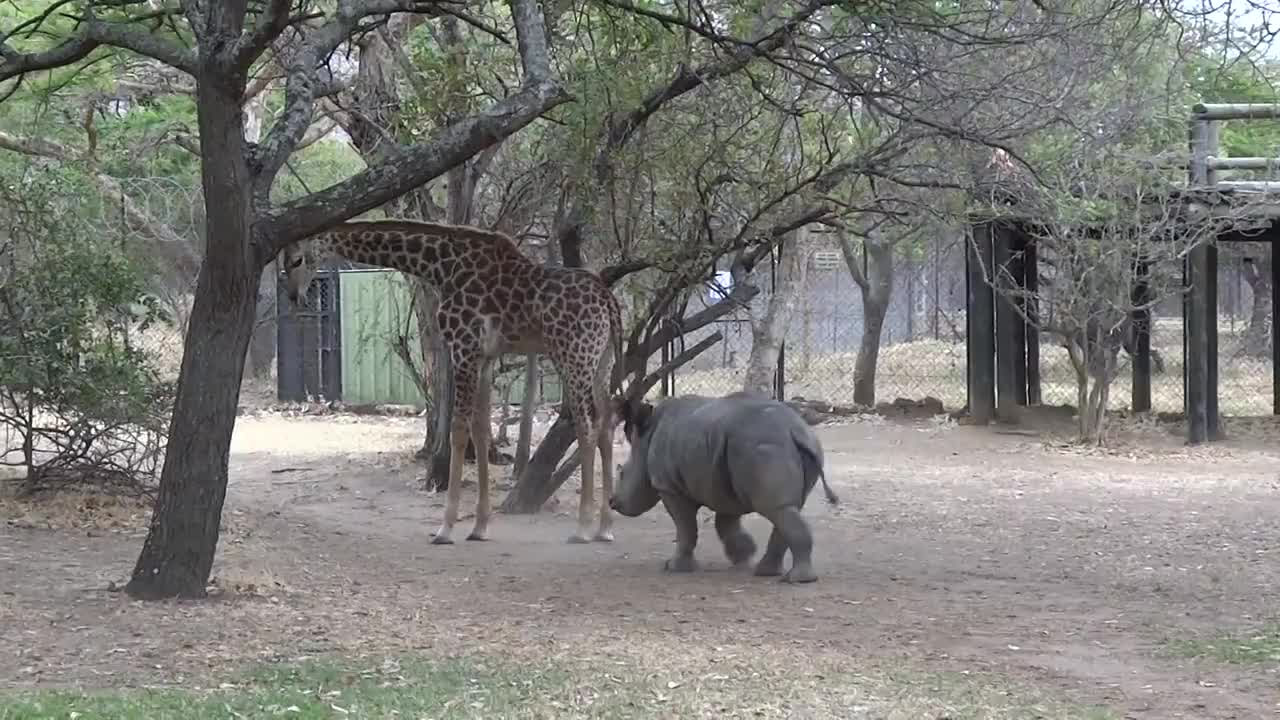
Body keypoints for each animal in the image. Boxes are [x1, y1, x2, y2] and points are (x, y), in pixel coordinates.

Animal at [279, 219, 624, 545]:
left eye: (297, 259)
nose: (296, 297)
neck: (441, 266)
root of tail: (610, 301)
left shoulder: (462, 347)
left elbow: (458, 431)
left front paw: (445, 529)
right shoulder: (485, 357)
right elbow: (481, 431)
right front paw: (479, 527)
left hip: (575, 355)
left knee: (586, 424)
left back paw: (582, 528)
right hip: (602, 360)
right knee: (607, 422)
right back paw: (605, 528)